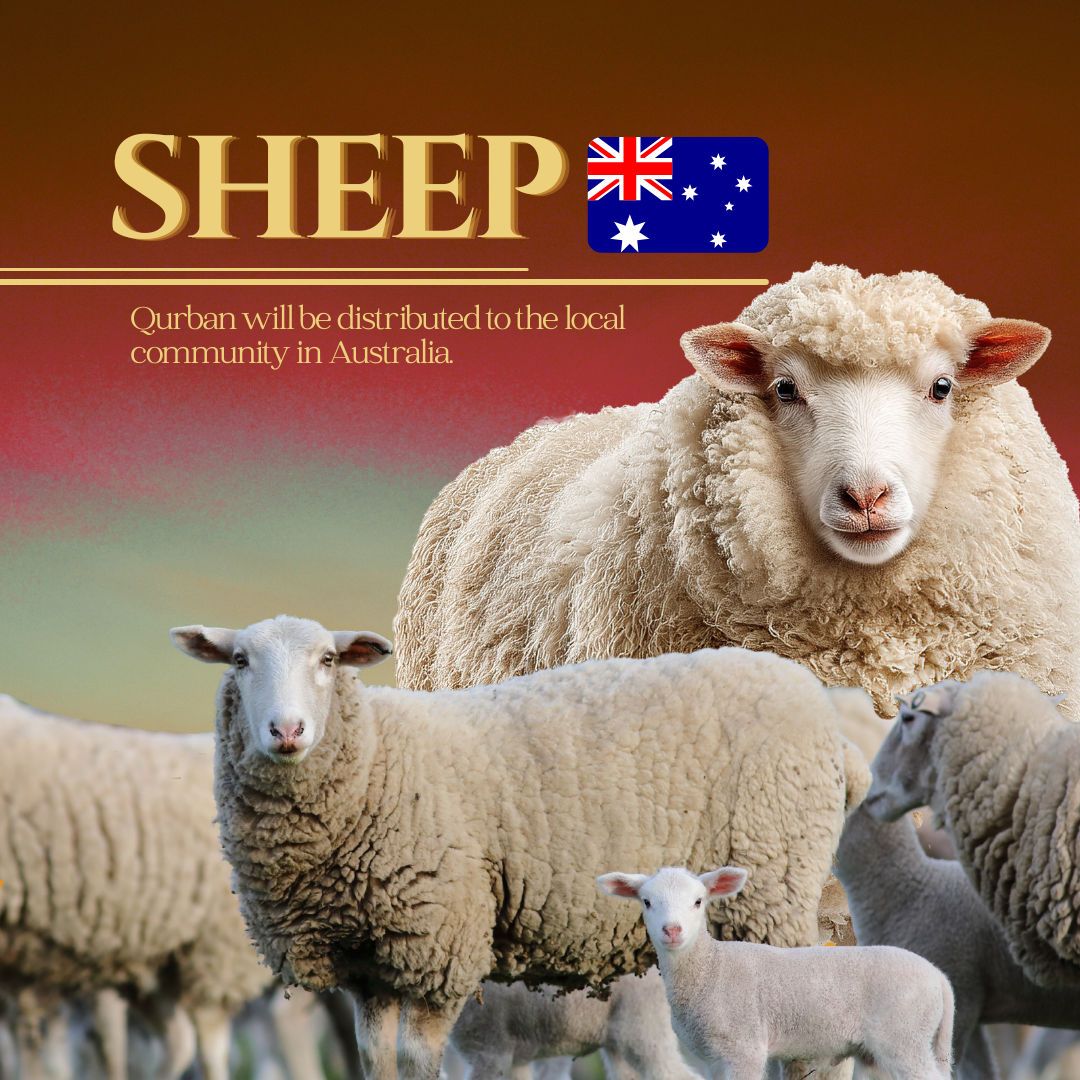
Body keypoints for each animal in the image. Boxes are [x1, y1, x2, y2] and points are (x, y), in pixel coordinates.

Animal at [596, 865, 954, 1080]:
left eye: (698, 901)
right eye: (646, 902)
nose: (672, 931)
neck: (711, 968)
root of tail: (939, 978)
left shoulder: (745, 1048)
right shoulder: (713, 1057)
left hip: (903, 1035)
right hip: (886, 1050)